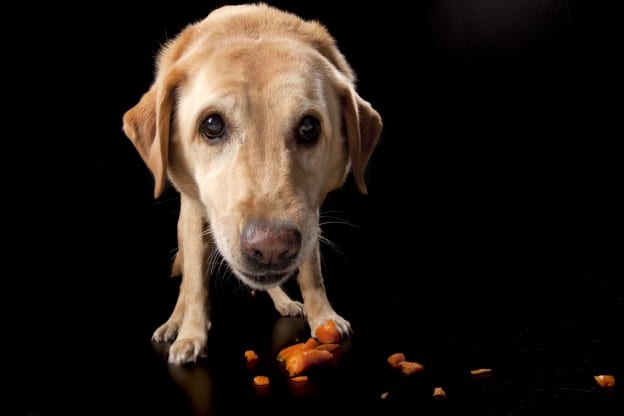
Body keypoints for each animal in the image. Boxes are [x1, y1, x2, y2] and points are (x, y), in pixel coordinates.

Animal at [121, 3, 380, 362]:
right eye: (212, 125)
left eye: (309, 128)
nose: (271, 247)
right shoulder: (194, 213)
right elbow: (195, 286)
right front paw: (191, 334)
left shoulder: (310, 214)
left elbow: (312, 272)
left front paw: (323, 316)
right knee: (186, 281)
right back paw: (175, 322)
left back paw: (285, 302)